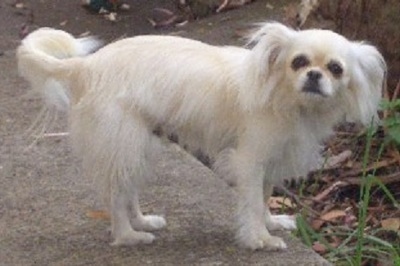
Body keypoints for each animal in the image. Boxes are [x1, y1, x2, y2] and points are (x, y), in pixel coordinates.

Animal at [17, 22, 386, 249]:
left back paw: (143, 222)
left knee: (126, 192)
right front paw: (259, 239)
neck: (287, 99)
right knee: (115, 198)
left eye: (335, 69)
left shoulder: (270, 162)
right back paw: (128, 236)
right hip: (124, 143)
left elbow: (264, 198)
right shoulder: (249, 161)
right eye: (298, 62)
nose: (313, 75)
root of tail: (87, 66)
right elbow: (252, 204)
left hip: (138, 146)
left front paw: (271, 223)